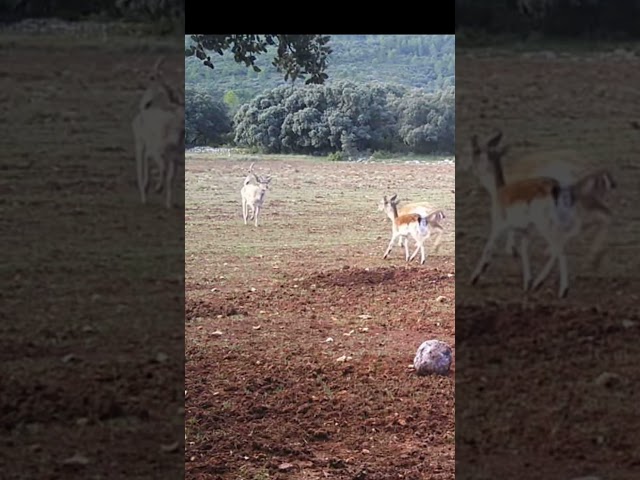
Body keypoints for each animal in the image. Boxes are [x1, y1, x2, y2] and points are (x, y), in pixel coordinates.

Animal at [470, 131, 616, 296]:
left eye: (476, 150)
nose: (473, 169)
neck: (500, 188)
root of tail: (602, 173)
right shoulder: (525, 227)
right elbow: (523, 247)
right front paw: (525, 277)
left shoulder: (500, 221)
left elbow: (490, 245)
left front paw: (476, 276)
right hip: (583, 205)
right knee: (602, 217)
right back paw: (591, 262)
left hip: (572, 208)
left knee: (579, 228)